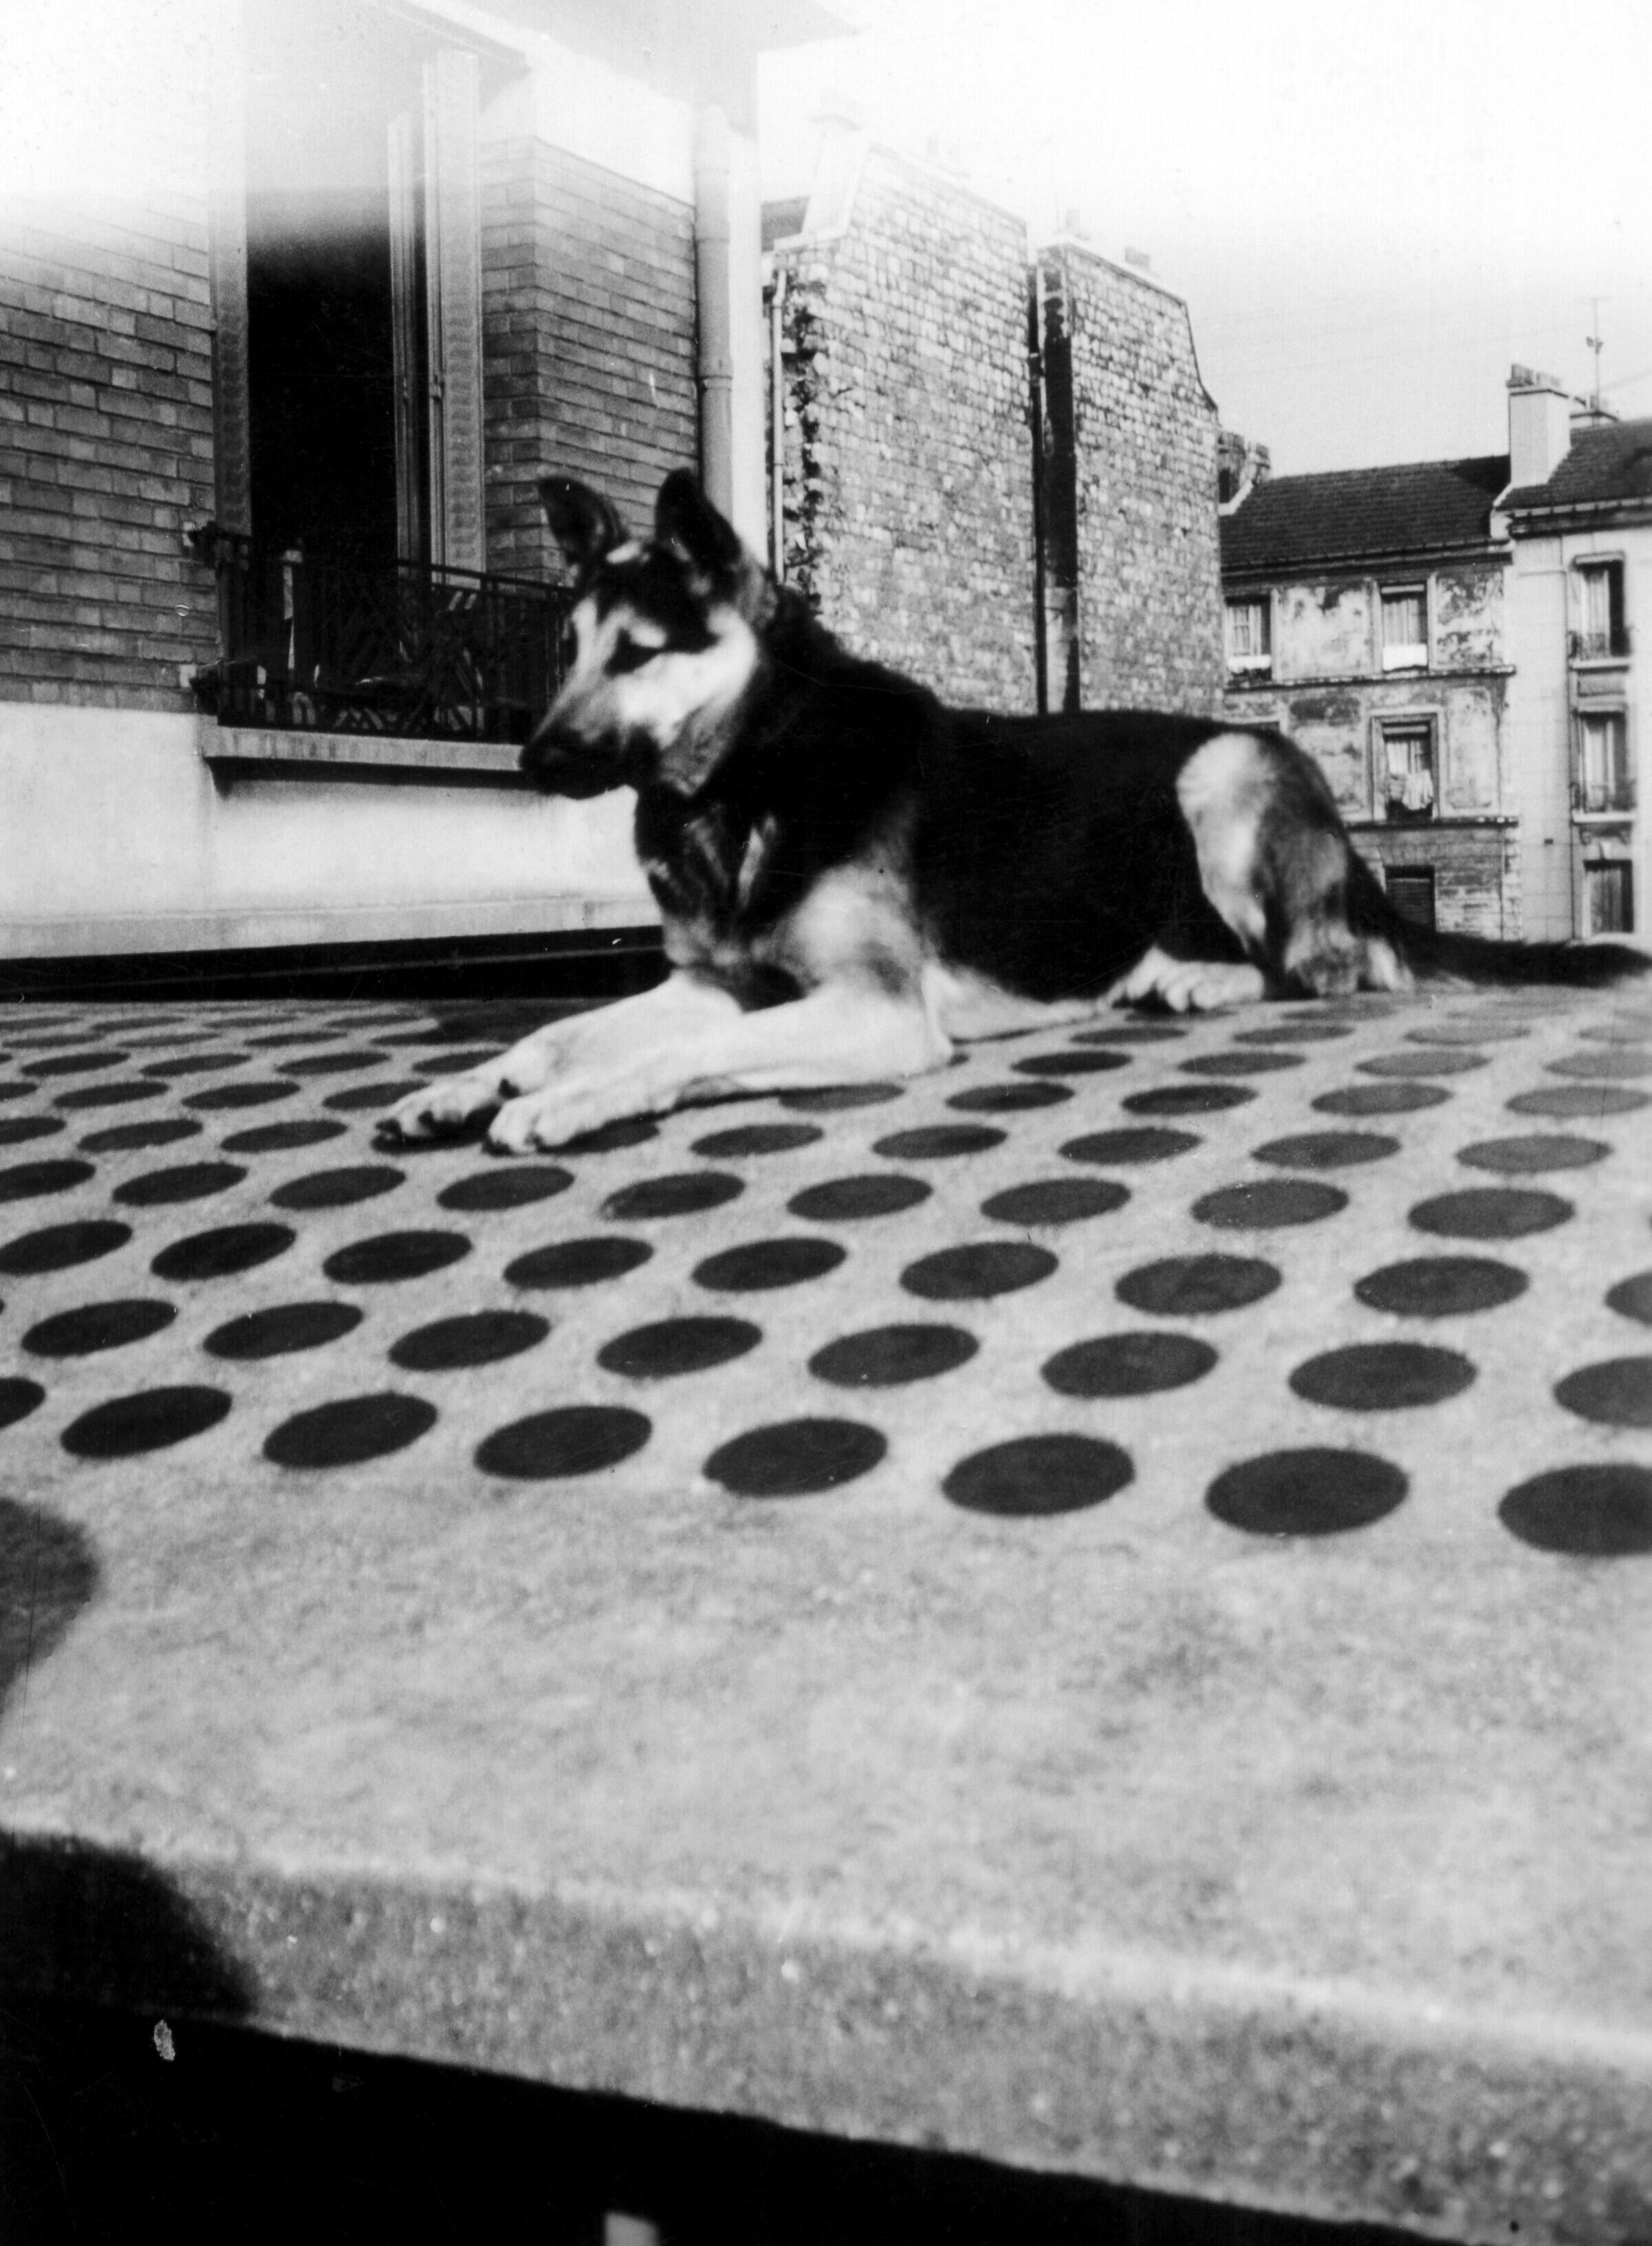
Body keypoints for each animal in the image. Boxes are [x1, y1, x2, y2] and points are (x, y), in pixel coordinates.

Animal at [386, 470, 1647, 1154]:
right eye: (567, 647)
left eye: (638, 652)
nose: (531, 756)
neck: (751, 769)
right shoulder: (711, 983)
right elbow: (557, 1033)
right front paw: (466, 1084)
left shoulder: (875, 1013)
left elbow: (677, 1057)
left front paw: (566, 1103)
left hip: (1222, 773)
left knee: (1333, 967)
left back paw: (1206, 982)